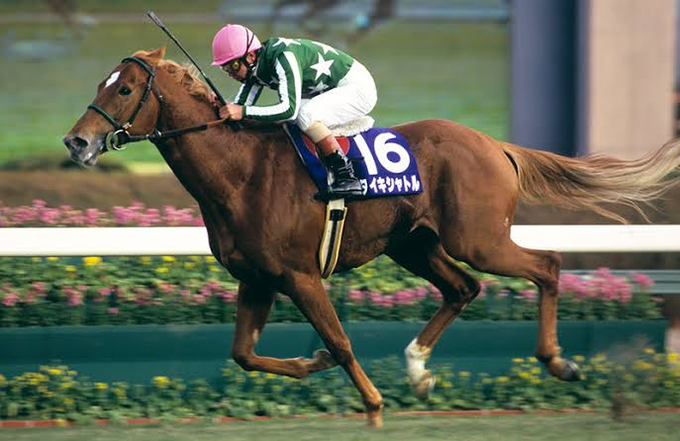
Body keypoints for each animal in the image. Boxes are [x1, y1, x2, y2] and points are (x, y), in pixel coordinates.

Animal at [63, 48, 680, 427]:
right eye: (101, 84)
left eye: (125, 90)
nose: (76, 142)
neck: (240, 171)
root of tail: (495, 144)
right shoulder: (257, 279)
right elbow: (244, 354)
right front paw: (311, 365)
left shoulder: (299, 274)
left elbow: (339, 341)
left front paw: (373, 405)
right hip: (415, 245)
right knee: (463, 289)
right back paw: (418, 369)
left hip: (477, 238)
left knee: (546, 264)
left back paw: (557, 362)